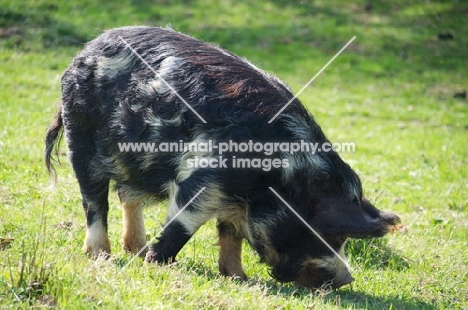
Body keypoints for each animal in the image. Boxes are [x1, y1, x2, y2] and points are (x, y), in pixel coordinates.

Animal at [45, 26, 400, 288]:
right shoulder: (203, 178)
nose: (345, 279)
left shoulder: (233, 198)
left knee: (128, 196)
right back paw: (102, 256)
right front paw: (157, 264)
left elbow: (231, 234)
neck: (278, 178)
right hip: (81, 141)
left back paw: (136, 249)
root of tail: (81, 54)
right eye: (331, 234)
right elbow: (182, 225)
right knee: (95, 202)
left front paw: (239, 278)